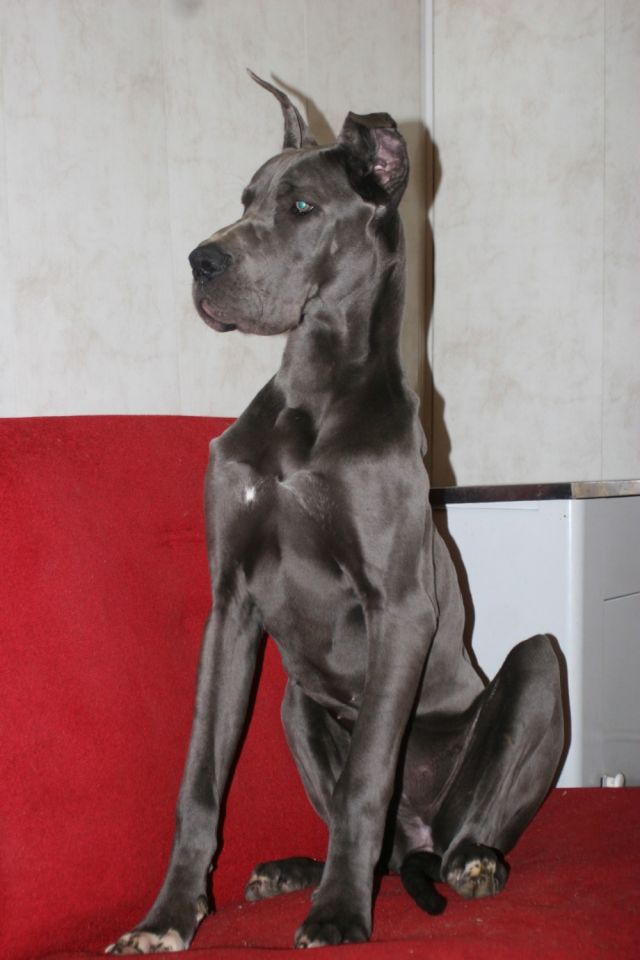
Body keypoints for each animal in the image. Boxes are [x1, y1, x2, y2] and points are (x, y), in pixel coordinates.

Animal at [108, 73, 564, 953]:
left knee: (455, 821)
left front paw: (339, 914)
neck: (313, 392)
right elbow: (199, 780)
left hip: (533, 673)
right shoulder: (230, 605)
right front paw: (169, 917)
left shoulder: (401, 606)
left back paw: (471, 864)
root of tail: (418, 834)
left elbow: (364, 782)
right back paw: (296, 869)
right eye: (244, 197)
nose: (200, 259)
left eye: (302, 206)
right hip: (295, 701)